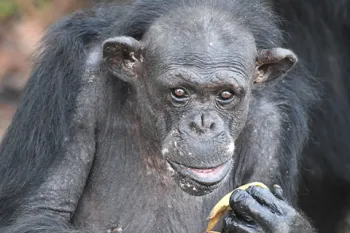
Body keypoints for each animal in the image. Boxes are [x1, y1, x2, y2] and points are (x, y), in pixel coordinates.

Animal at [0, 0, 348, 232]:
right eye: (179, 92)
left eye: (225, 95)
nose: (203, 125)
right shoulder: (75, 80)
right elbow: (43, 210)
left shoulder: (274, 124)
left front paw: (278, 223)